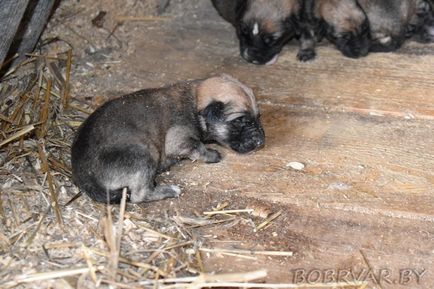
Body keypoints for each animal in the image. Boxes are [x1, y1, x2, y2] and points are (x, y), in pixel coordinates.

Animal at [71, 75, 264, 204]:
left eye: (258, 118)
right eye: (241, 121)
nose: (261, 141)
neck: (195, 103)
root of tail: (84, 176)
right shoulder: (178, 139)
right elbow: (198, 147)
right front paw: (212, 155)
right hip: (143, 155)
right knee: (139, 195)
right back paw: (170, 190)